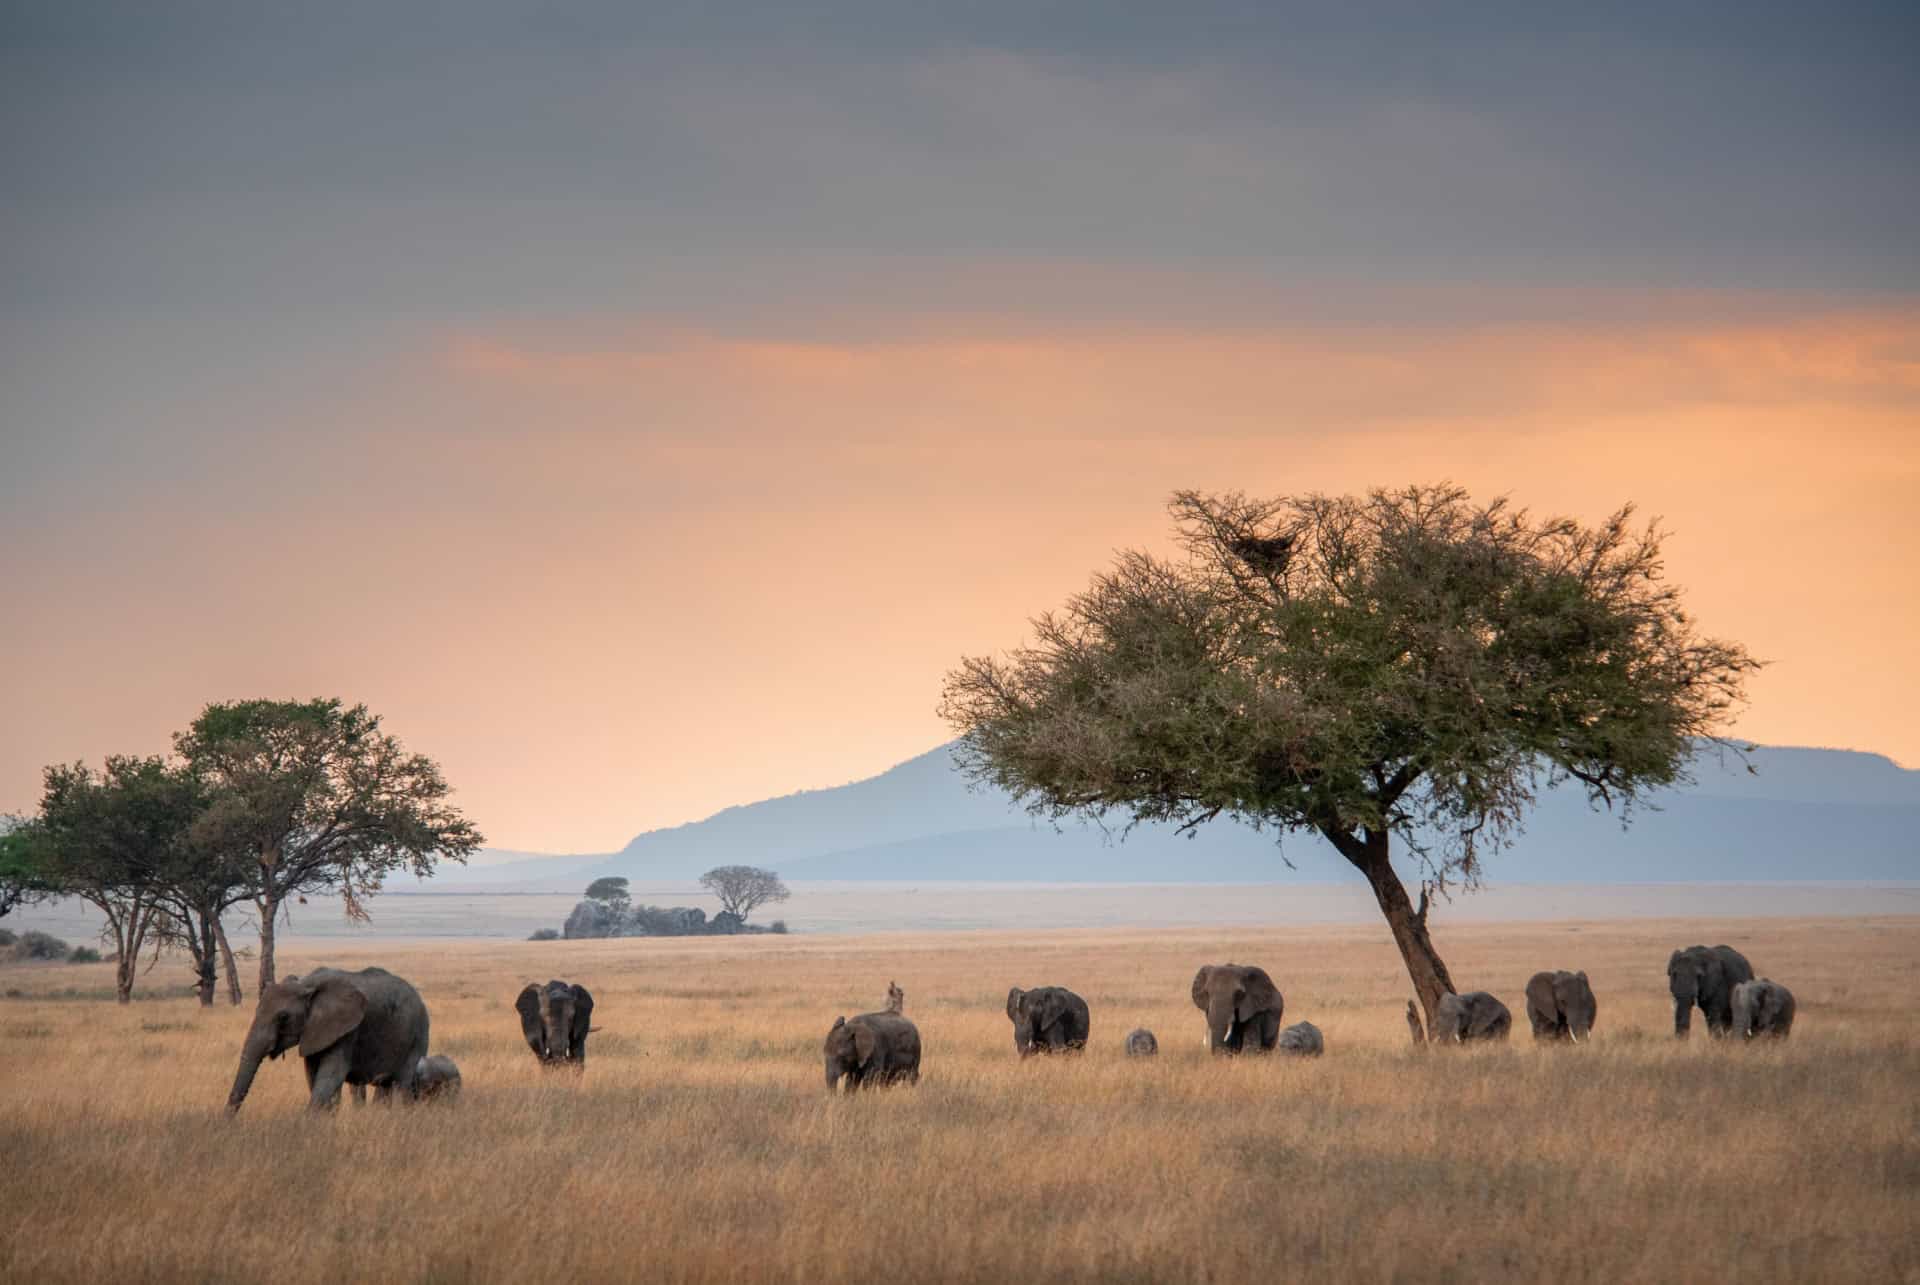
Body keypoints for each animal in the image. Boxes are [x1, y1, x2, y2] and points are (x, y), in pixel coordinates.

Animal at [224, 960, 428, 1114]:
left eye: (283, 1017)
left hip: (417, 1035)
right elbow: (313, 1075)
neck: (305, 984)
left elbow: (331, 1075)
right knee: (384, 1086)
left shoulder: (348, 1030)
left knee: (401, 1083)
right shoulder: (315, 1031)